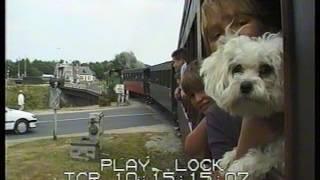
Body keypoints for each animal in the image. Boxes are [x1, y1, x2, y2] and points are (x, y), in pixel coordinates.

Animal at [201, 32, 284, 180]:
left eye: (266, 69)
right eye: (237, 68)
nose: (245, 85)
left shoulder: (281, 148)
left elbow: (268, 155)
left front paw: (237, 169)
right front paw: (230, 156)